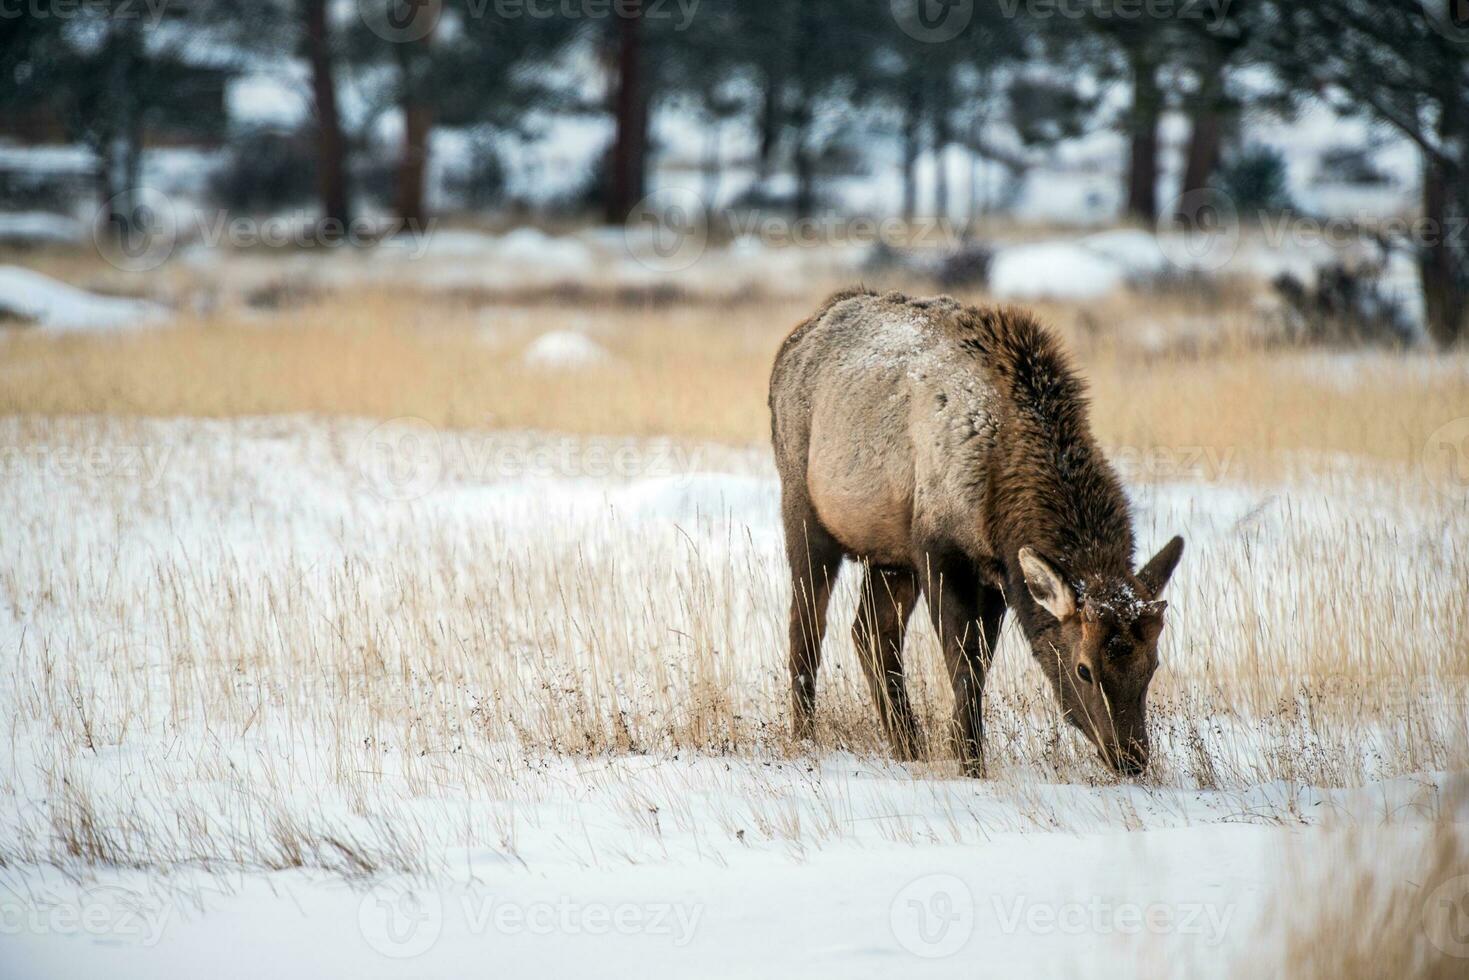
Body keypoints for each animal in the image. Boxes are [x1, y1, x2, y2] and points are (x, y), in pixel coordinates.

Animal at [769, 287, 1181, 775]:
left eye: (1152, 665)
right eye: (1084, 668)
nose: (1131, 756)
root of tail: (793, 342)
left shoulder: (995, 572)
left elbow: (978, 663)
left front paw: (957, 748)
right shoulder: (940, 551)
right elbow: (964, 665)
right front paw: (969, 760)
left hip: (889, 553)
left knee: (869, 634)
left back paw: (909, 745)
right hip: (805, 509)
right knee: (807, 627)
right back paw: (806, 737)